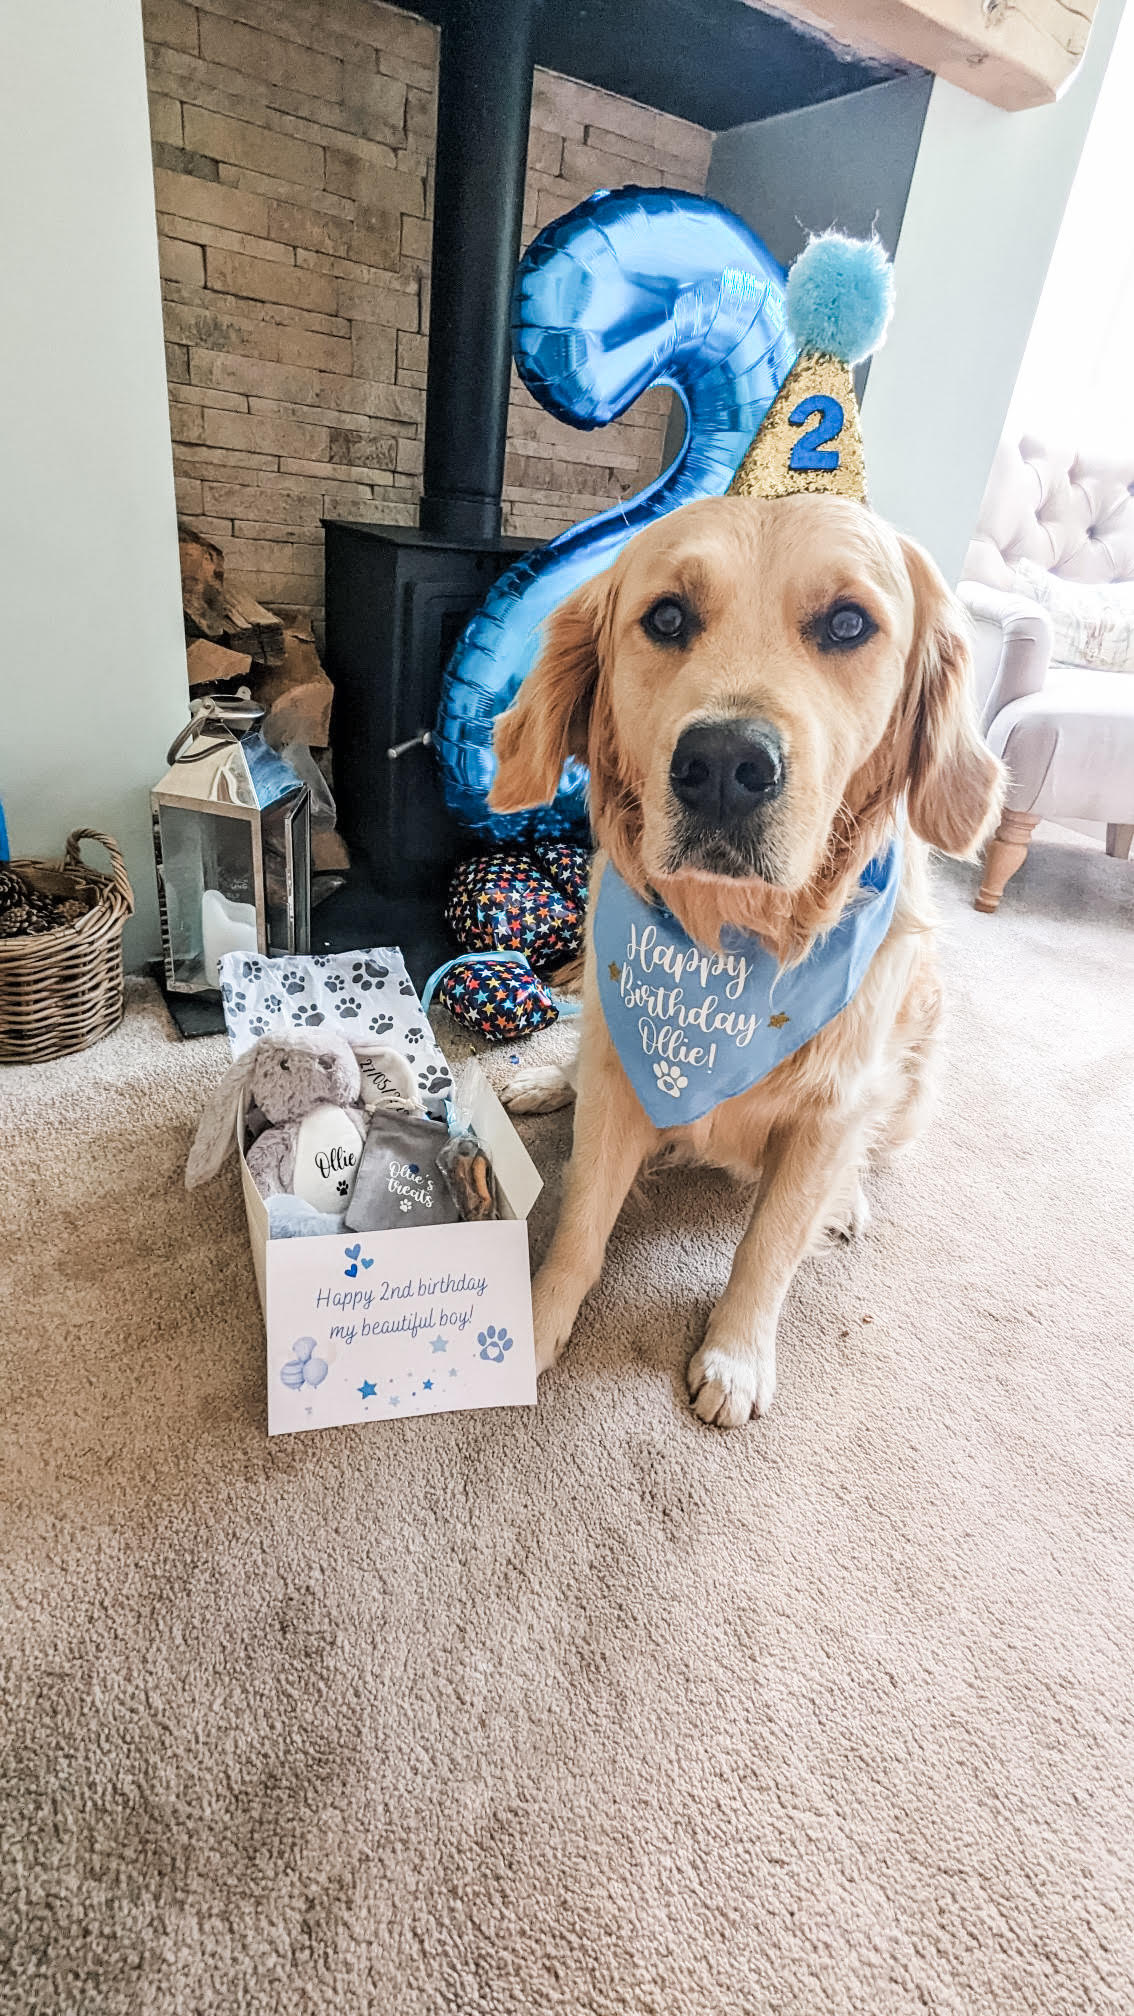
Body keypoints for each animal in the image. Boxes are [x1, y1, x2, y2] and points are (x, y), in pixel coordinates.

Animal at [486, 493, 996, 1427]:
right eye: (667, 617)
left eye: (847, 623)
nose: (724, 765)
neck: (730, 950)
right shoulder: (620, 1077)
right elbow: (579, 1223)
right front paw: (536, 1324)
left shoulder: (833, 1107)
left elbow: (772, 1243)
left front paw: (735, 1357)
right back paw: (541, 1078)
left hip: (913, 1070)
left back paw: (848, 1202)